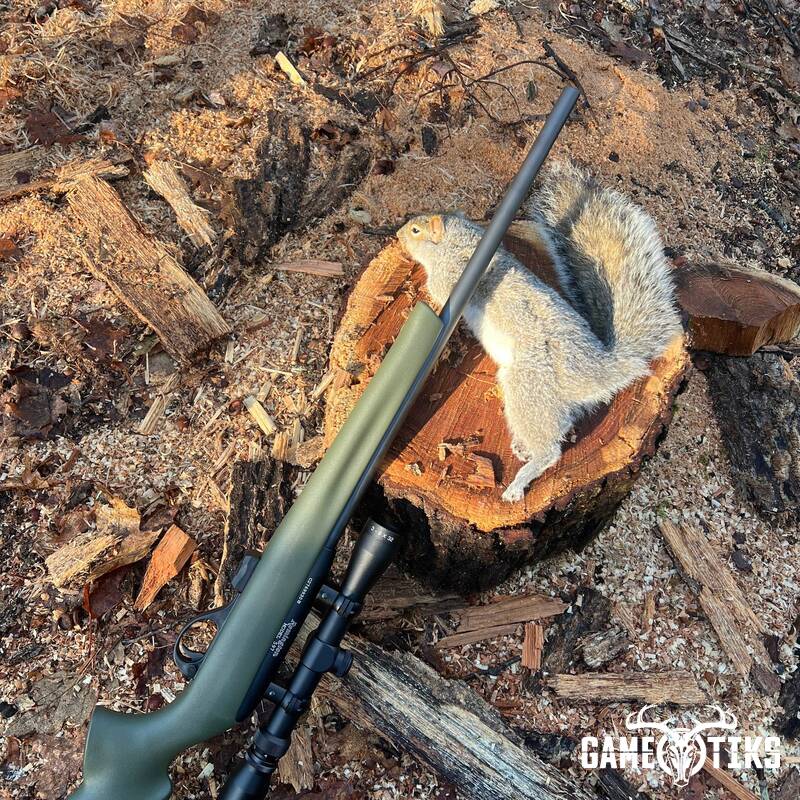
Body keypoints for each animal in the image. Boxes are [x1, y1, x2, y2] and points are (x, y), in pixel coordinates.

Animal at [397, 161, 682, 503]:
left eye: (416, 230)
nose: (397, 235)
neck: (459, 242)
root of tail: (598, 370)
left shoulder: (453, 275)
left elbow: (438, 292)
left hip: (529, 386)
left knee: (551, 451)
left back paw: (519, 481)